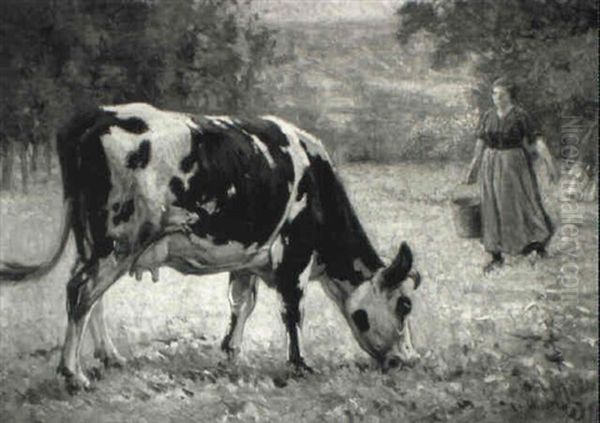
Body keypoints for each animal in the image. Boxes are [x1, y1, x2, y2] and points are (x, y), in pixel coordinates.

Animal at [0, 102, 422, 390]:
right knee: (81, 291)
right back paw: (73, 375)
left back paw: (110, 357)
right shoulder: (294, 254)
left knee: (91, 297)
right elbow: (292, 311)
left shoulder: (249, 258)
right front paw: (300, 365)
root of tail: (97, 114)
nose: (410, 360)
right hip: (118, 241)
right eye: (404, 304)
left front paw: (230, 354)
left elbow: (241, 305)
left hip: (94, 243)